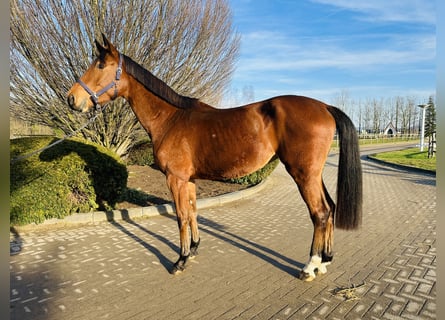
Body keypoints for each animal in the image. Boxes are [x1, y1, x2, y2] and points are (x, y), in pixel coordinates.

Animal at [67, 33, 362, 282]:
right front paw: (194, 248)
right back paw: (325, 261)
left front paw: (180, 260)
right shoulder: (189, 180)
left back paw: (309, 266)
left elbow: (181, 217)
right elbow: (193, 212)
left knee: (320, 213)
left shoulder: (175, 179)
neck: (171, 119)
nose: (72, 99)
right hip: (314, 174)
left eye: (100, 66)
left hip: (303, 174)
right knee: (330, 208)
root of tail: (324, 107)